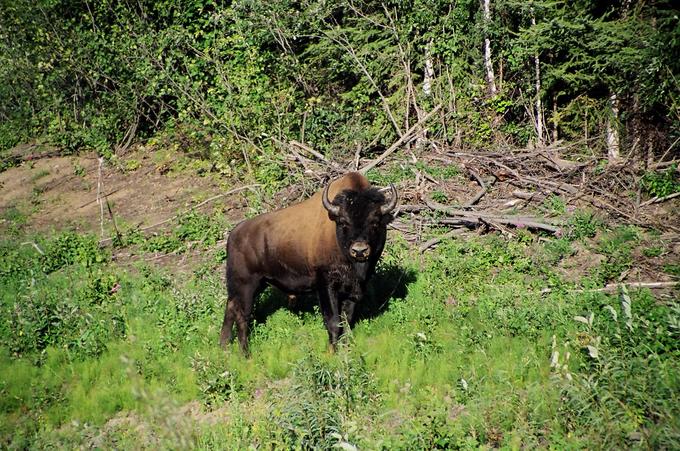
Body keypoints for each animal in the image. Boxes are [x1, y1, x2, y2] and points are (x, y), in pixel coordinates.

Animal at [220, 173, 396, 354]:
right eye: (343, 222)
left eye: (375, 222)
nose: (359, 250)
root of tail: (233, 235)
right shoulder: (326, 286)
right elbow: (333, 321)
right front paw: (332, 352)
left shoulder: (354, 288)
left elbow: (347, 320)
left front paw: (346, 348)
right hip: (247, 286)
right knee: (242, 316)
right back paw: (245, 354)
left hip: (249, 285)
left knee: (230, 308)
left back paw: (224, 348)